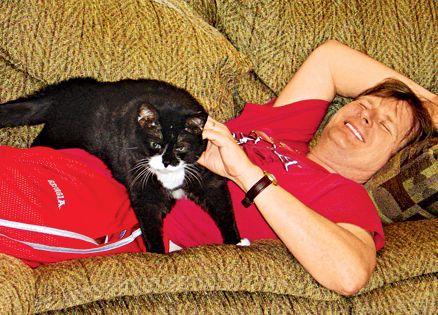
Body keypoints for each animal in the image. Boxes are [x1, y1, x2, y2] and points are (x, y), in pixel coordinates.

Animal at [0, 78, 240, 254]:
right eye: (155, 144)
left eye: (181, 147)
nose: (166, 162)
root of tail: (59, 97)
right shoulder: (144, 188)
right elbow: (150, 222)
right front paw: (158, 255)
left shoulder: (207, 178)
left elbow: (224, 209)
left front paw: (237, 242)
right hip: (55, 137)